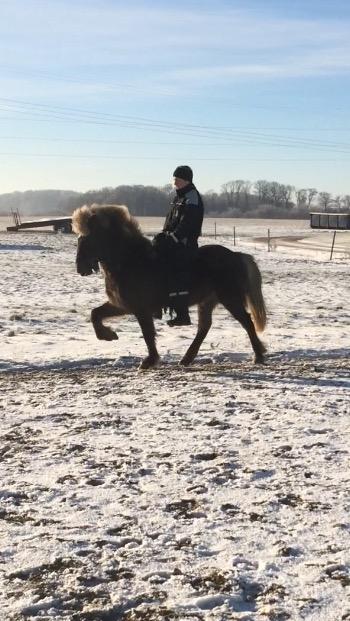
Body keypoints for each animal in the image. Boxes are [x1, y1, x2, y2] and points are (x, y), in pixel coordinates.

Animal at [72, 203, 266, 368]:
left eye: (88, 239)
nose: (80, 268)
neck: (131, 260)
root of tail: (236, 255)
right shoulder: (123, 305)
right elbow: (95, 314)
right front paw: (108, 336)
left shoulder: (141, 309)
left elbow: (147, 333)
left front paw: (150, 360)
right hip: (208, 301)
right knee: (204, 327)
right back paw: (187, 358)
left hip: (230, 298)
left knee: (246, 321)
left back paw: (258, 355)